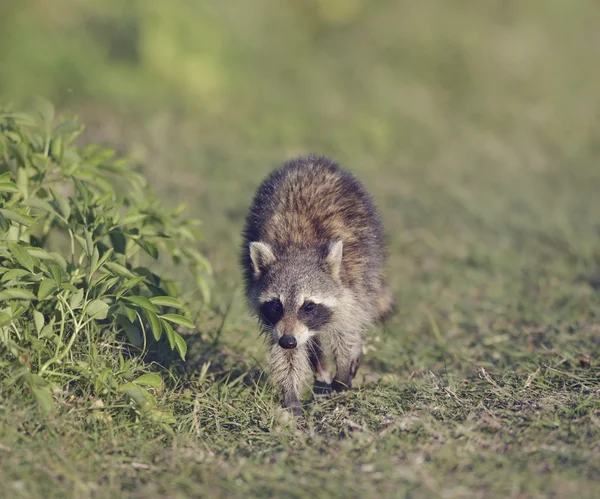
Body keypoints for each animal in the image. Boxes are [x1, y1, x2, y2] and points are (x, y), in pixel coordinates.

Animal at [240, 154, 394, 416]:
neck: (297, 247)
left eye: (309, 306)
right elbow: (287, 356)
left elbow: (347, 328)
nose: (288, 341)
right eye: (276, 305)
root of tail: (312, 160)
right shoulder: (277, 322)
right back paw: (320, 369)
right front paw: (291, 394)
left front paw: (343, 371)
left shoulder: (351, 281)